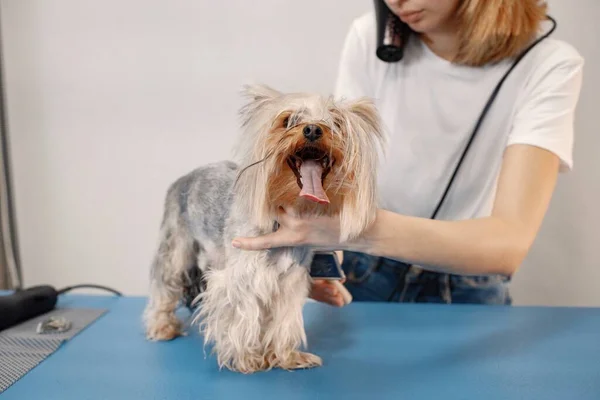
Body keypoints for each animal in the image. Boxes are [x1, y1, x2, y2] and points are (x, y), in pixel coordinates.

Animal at [143, 83, 384, 374]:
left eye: (336, 123)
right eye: (287, 121)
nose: (313, 130)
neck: (289, 211)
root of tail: (184, 178)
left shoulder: (290, 281)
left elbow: (284, 321)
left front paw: (286, 355)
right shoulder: (241, 277)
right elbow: (242, 317)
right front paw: (247, 358)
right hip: (176, 242)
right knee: (165, 282)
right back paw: (162, 326)